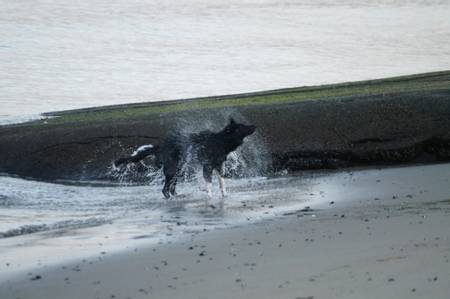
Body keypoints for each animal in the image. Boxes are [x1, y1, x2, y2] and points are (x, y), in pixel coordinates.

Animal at [114, 118, 256, 207]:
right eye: (242, 127)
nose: (254, 125)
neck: (220, 141)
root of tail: (159, 146)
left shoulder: (219, 166)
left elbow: (222, 184)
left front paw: (224, 196)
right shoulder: (207, 167)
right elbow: (209, 185)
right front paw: (209, 198)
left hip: (179, 170)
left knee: (171, 188)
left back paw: (179, 196)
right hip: (172, 170)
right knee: (165, 190)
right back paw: (172, 199)